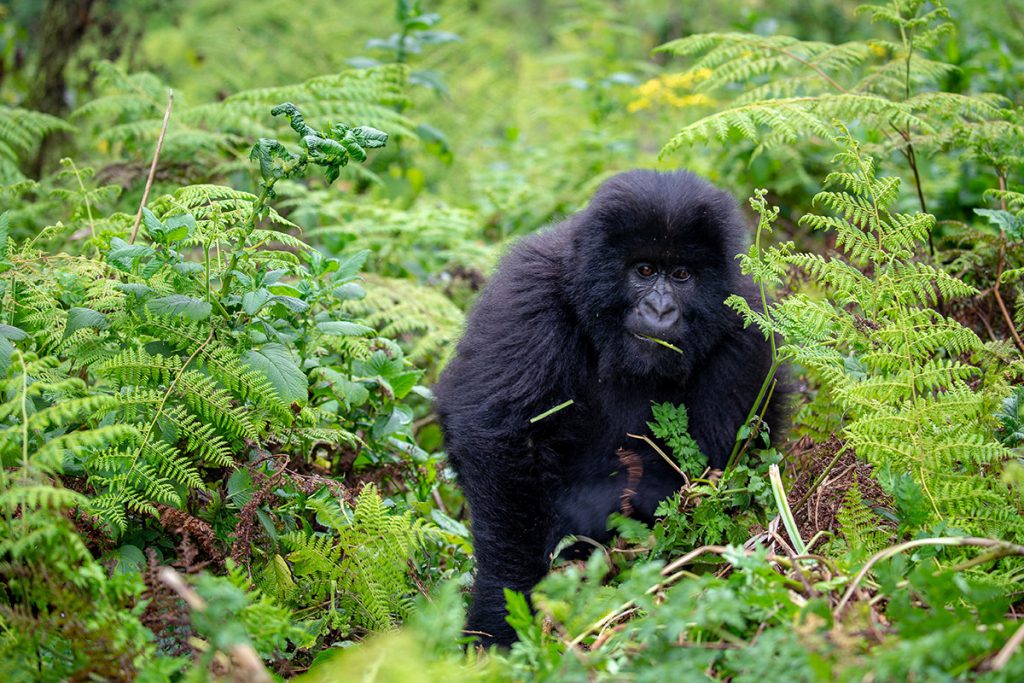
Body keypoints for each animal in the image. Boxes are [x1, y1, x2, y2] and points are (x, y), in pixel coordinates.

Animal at [432, 169, 782, 647]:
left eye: (682, 275)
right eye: (645, 270)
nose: (660, 308)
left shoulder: (747, 329)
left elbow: (719, 467)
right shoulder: (528, 293)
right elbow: (499, 441)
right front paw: (502, 608)